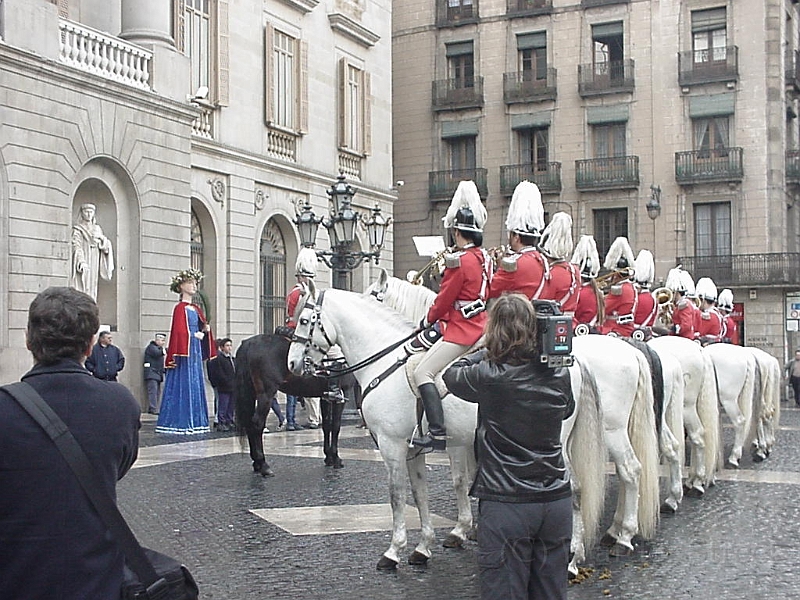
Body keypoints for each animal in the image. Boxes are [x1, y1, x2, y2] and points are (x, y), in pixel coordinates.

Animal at [231, 330, 356, 476]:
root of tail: (250, 343)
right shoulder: (341, 395)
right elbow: (335, 426)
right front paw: (336, 458)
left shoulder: (325, 398)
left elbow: (327, 426)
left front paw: (329, 457)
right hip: (266, 394)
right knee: (257, 424)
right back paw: (263, 464)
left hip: (252, 393)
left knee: (249, 423)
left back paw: (256, 464)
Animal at [286, 284, 608, 576]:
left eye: (304, 320)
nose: (292, 363)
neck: (384, 359)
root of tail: (576, 360)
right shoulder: (414, 449)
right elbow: (420, 494)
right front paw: (423, 547)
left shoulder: (392, 445)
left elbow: (396, 495)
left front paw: (393, 551)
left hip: (553, 445)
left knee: (574, 490)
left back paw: (572, 560)